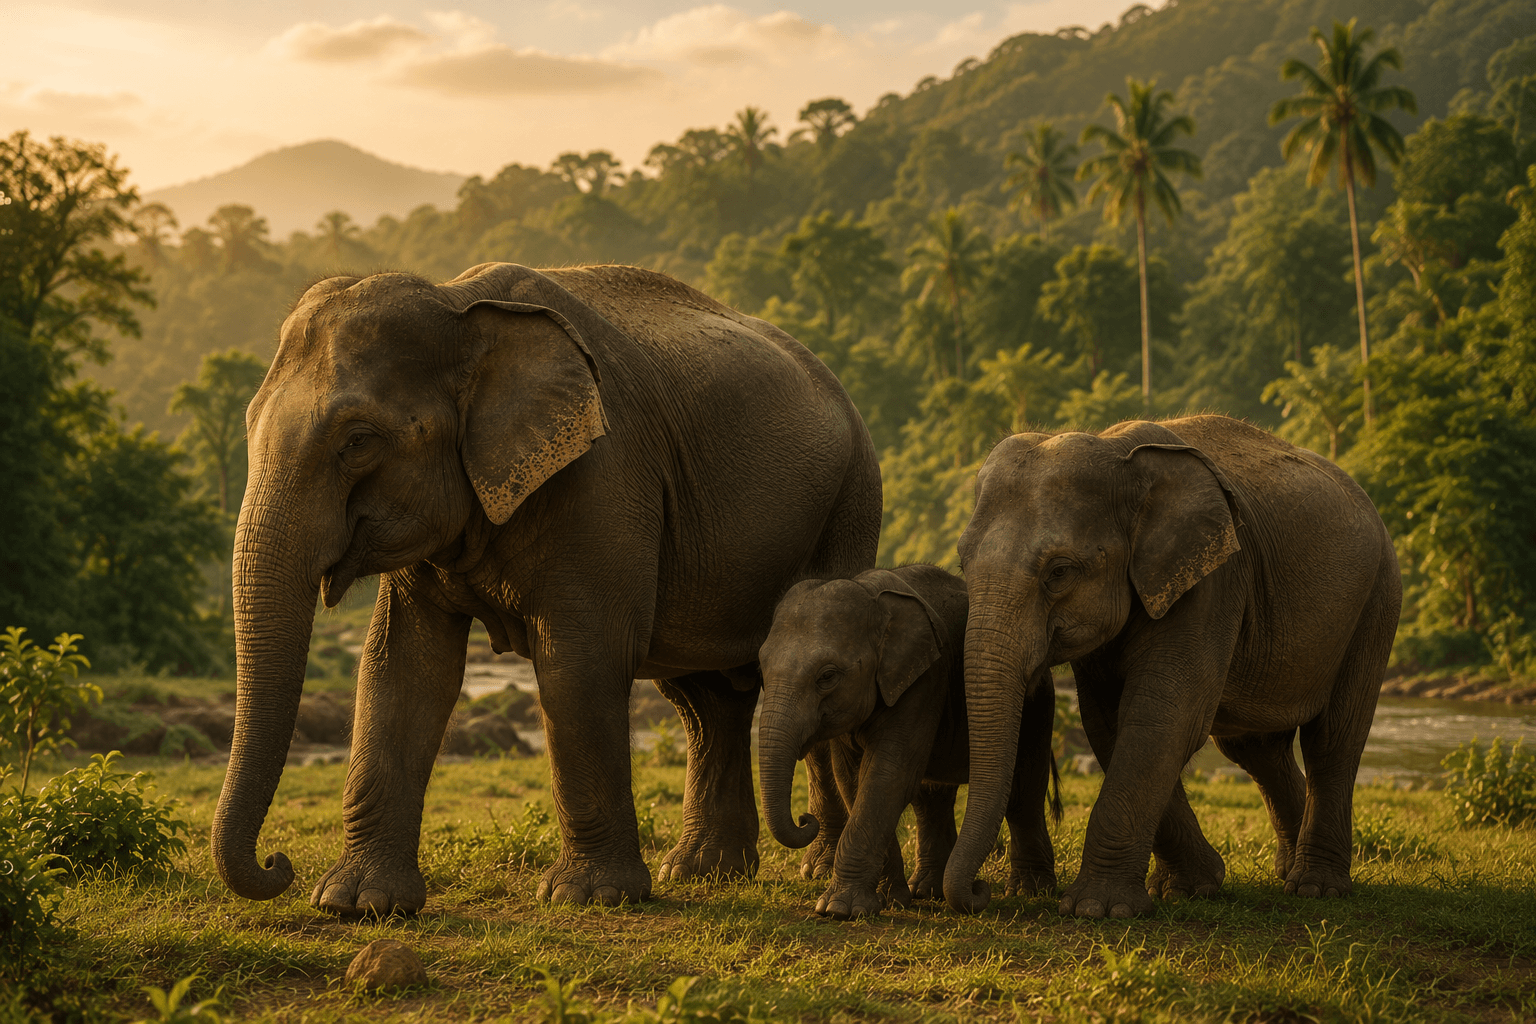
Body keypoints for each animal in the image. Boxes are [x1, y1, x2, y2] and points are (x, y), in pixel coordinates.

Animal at [212, 261, 881, 915]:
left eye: (358, 441)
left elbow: (578, 661)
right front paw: (357, 903)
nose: (277, 863)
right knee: (704, 699)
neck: (460, 301)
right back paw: (704, 872)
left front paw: (592, 897)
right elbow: (403, 664)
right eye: (245, 424)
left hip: (851, 503)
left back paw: (814, 868)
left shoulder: (605, 475)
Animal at [757, 564, 1059, 919]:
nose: (805, 819)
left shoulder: (923, 681)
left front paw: (839, 909)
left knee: (1023, 791)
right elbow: (854, 780)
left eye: (827, 676)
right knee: (931, 798)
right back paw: (926, 891)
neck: (868, 594)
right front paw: (887, 900)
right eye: (761, 669)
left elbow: (887, 776)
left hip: (1038, 702)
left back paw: (1030, 891)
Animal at [944, 415, 1401, 919]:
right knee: (1255, 749)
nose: (980, 891)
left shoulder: (1213, 581)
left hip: (1378, 599)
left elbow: (1163, 718)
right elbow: (1109, 723)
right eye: (962, 564)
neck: (1116, 450)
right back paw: (1287, 870)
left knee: (1333, 739)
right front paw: (1191, 888)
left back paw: (1316, 888)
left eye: (1059, 572)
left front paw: (1097, 909)